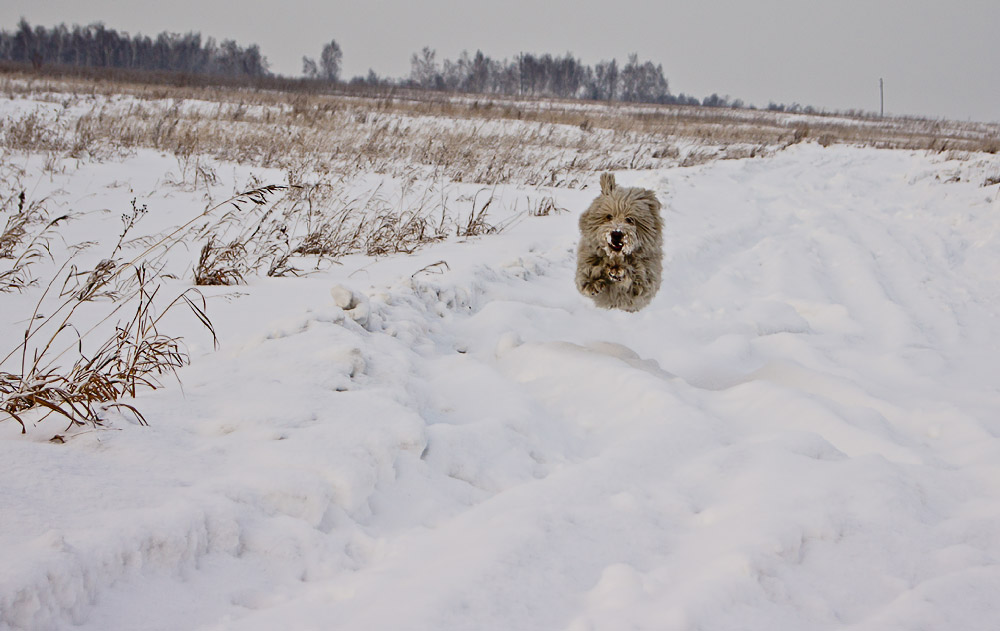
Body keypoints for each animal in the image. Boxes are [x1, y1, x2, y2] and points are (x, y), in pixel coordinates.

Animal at [580, 173, 664, 314]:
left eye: (630, 219)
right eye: (609, 216)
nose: (616, 233)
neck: (616, 257)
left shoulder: (646, 277)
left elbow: (636, 280)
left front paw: (620, 271)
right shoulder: (588, 255)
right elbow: (587, 272)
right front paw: (593, 283)